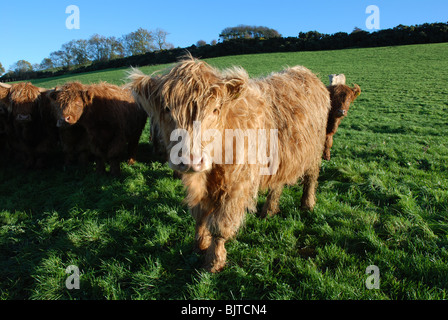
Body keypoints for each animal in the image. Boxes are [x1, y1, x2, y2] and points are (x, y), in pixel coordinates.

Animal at [128, 55, 330, 272]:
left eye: (215, 109)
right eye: (167, 109)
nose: (191, 160)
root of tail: (304, 72)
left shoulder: (237, 186)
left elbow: (220, 225)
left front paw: (213, 261)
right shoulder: (198, 183)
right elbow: (200, 214)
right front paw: (199, 245)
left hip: (315, 151)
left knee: (311, 178)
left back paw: (307, 204)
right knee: (277, 184)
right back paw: (268, 211)